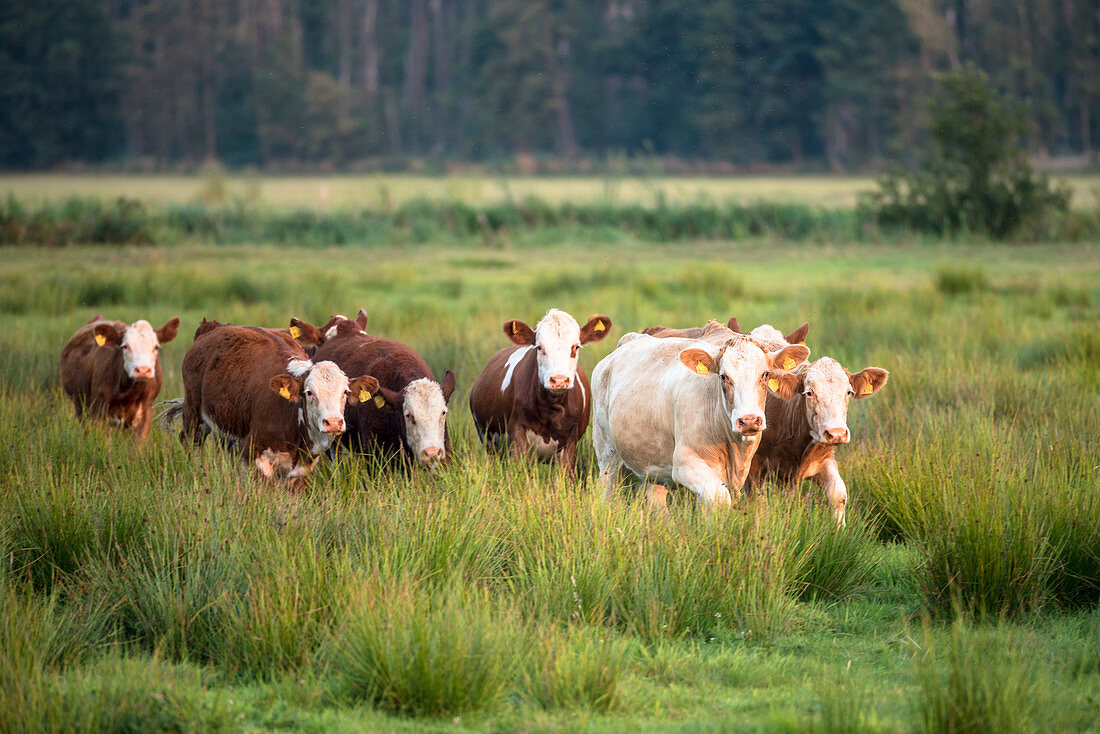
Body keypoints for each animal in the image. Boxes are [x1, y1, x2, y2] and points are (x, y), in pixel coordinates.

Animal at [61, 314, 180, 442]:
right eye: (125, 346)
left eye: (156, 347)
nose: (143, 370)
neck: (127, 394)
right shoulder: (98, 411)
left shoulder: (145, 414)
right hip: (80, 405)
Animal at [173, 323, 376, 488]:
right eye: (309, 392)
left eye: (345, 392)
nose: (333, 422)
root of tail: (212, 326)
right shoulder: (254, 453)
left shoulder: (302, 468)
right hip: (193, 416)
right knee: (190, 443)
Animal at [468, 308, 616, 477]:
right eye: (539, 347)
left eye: (576, 347)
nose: (559, 380)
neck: (550, 410)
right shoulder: (518, 434)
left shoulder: (570, 441)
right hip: (490, 443)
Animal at [589, 334, 814, 510]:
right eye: (724, 377)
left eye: (765, 374)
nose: (749, 420)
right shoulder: (685, 464)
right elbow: (721, 499)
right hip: (606, 450)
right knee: (607, 488)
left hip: (653, 460)